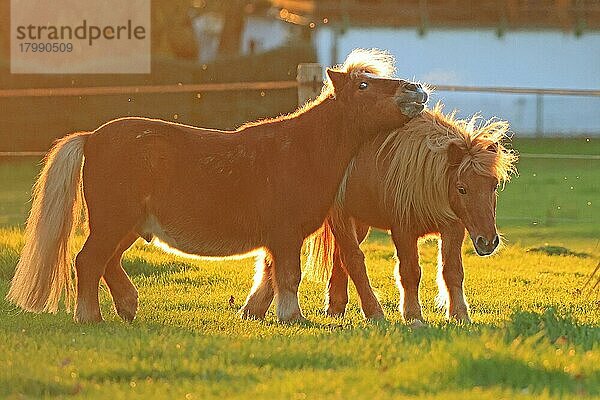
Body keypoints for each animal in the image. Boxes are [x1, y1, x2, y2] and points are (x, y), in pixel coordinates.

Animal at [4, 50, 426, 324]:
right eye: (364, 85)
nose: (416, 91)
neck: (301, 149)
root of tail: (91, 138)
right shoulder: (286, 234)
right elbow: (288, 277)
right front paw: (294, 318)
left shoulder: (277, 238)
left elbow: (269, 275)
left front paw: (255, 313)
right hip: (113, 222)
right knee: (88, 261)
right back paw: (90, 317)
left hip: (128, 226)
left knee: (107, 262)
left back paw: (126, 306)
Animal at [302, 104, 516, 324]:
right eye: (462, 189)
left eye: (494, 186)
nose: (488, 242)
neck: (423, 178)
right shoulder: (403, 231)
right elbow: (410, 272)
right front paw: (413, 315)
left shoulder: (453, 228)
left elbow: (452, 271)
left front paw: (460, 314)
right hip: (341, 217)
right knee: (353, 259)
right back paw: (373, 311)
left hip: (359, 222)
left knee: (340, 258)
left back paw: (335, 307)